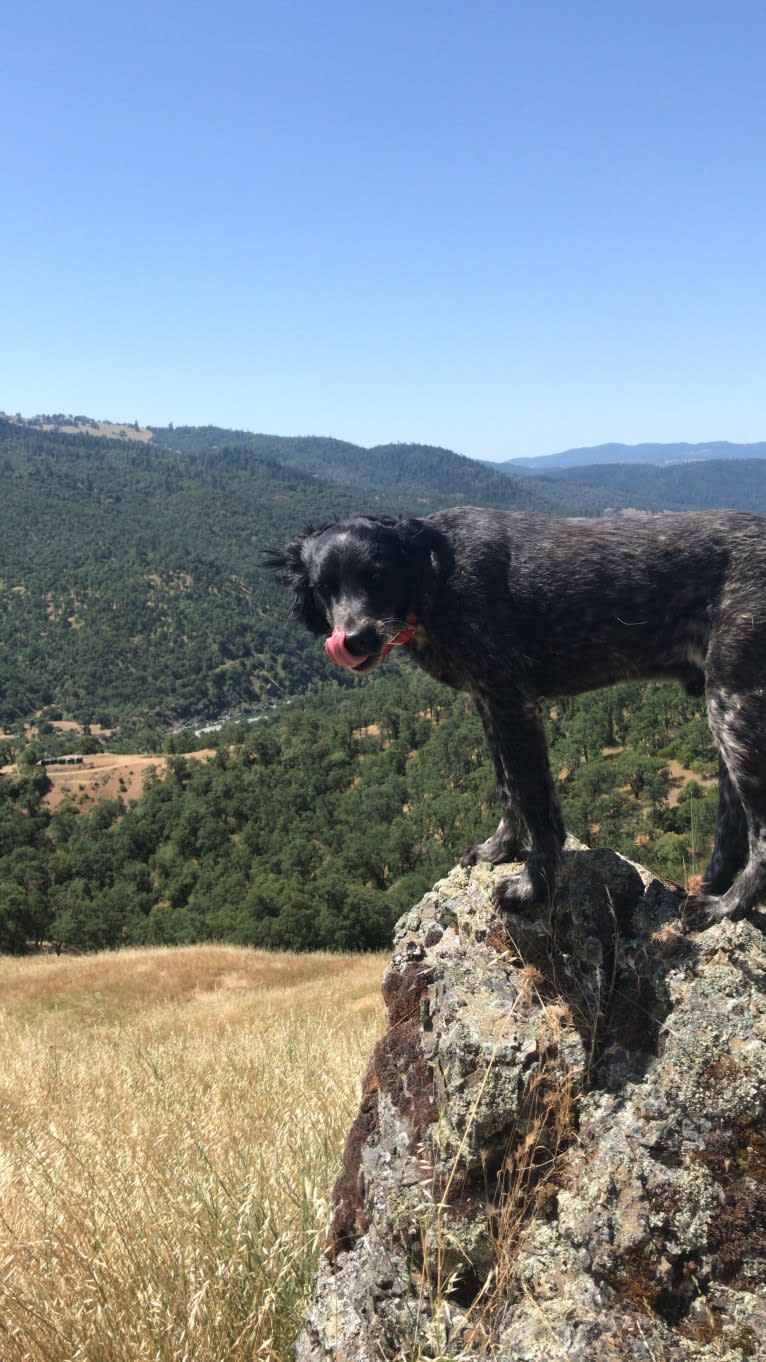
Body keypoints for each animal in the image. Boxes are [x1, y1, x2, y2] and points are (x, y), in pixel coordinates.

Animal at [267, 512, 763, 926]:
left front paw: (532, 888)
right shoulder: (489, 703)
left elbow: (537, 804)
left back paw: (727, 906)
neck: (437, 575)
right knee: (733, 823)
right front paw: (499, 848)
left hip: (734, 707)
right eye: (324, 587)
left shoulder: (515, 703)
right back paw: (711, 888)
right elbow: (508, 790)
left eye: (377, 575)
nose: (353, 639)